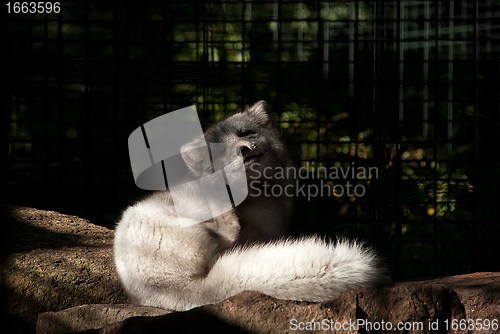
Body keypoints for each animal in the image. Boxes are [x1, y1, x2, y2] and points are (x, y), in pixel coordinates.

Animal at [114, 101, 386, 310]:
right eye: (220, 152)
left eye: (244, 133)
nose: (243, 151)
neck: (263, 197)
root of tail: (172, 290)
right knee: (225, 233)